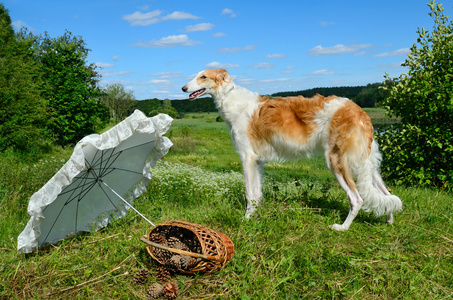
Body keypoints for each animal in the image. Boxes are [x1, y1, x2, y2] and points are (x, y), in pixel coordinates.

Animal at [182, 69, 400, 231]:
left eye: (203, 76)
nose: (183, 87)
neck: (232, 100)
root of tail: (360, 111)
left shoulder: (247, 157)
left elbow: (250, 194)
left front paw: (246, 219)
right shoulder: (258, 160)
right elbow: (257, 193)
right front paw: (255, 215)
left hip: (337, 160)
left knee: (357, 198)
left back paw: (342, 227)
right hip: (367, 163)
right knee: (387, 195)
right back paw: (388, 220)